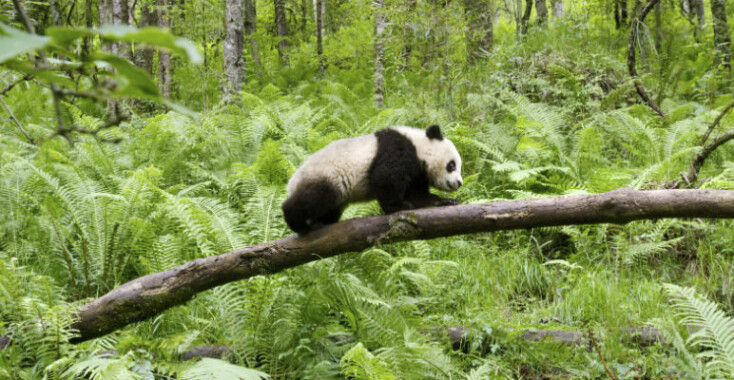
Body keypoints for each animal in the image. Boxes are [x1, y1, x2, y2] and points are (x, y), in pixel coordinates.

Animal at [284, 124, 462, 233]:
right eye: (452, 165)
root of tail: (292, 183)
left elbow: (418, 195)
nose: (459, 183)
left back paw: (321, 222)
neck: (418, 146)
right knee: (313, 199)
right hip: (327, 176)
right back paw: (297, 223)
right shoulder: (397, 150)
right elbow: (385, 178)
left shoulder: (417, 174)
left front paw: (446, 201)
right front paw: (399, 207)